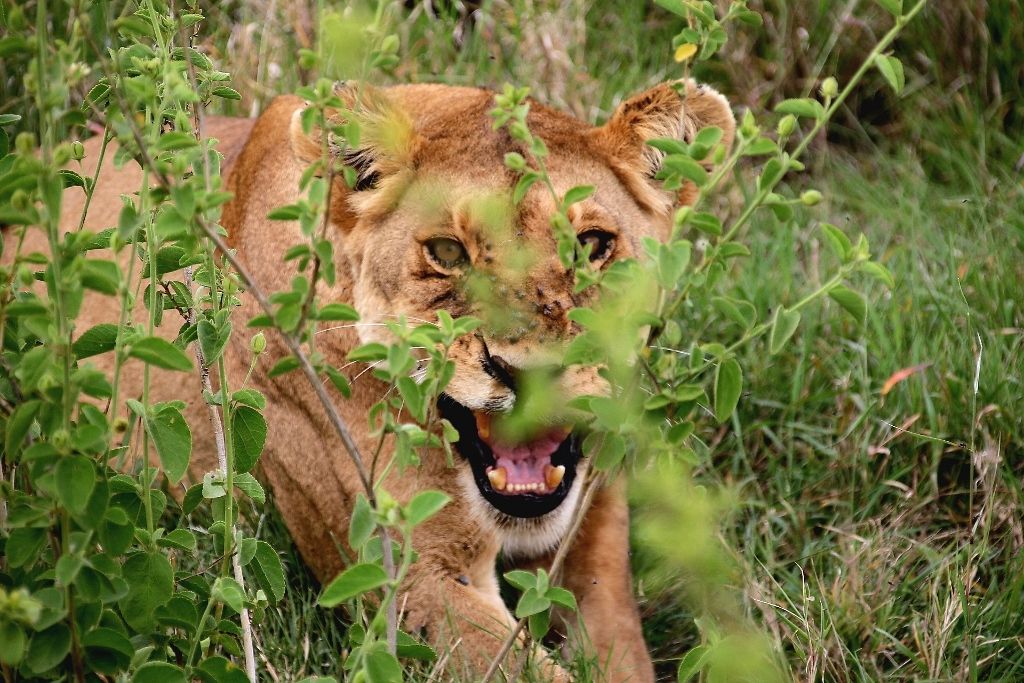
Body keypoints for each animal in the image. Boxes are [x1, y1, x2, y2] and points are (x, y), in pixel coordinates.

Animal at [47, 79, 734, 681]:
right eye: (448, 253)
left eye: (590, 246)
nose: (527, 371)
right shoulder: (407, 575)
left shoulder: (597, 545)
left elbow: (621, 654)